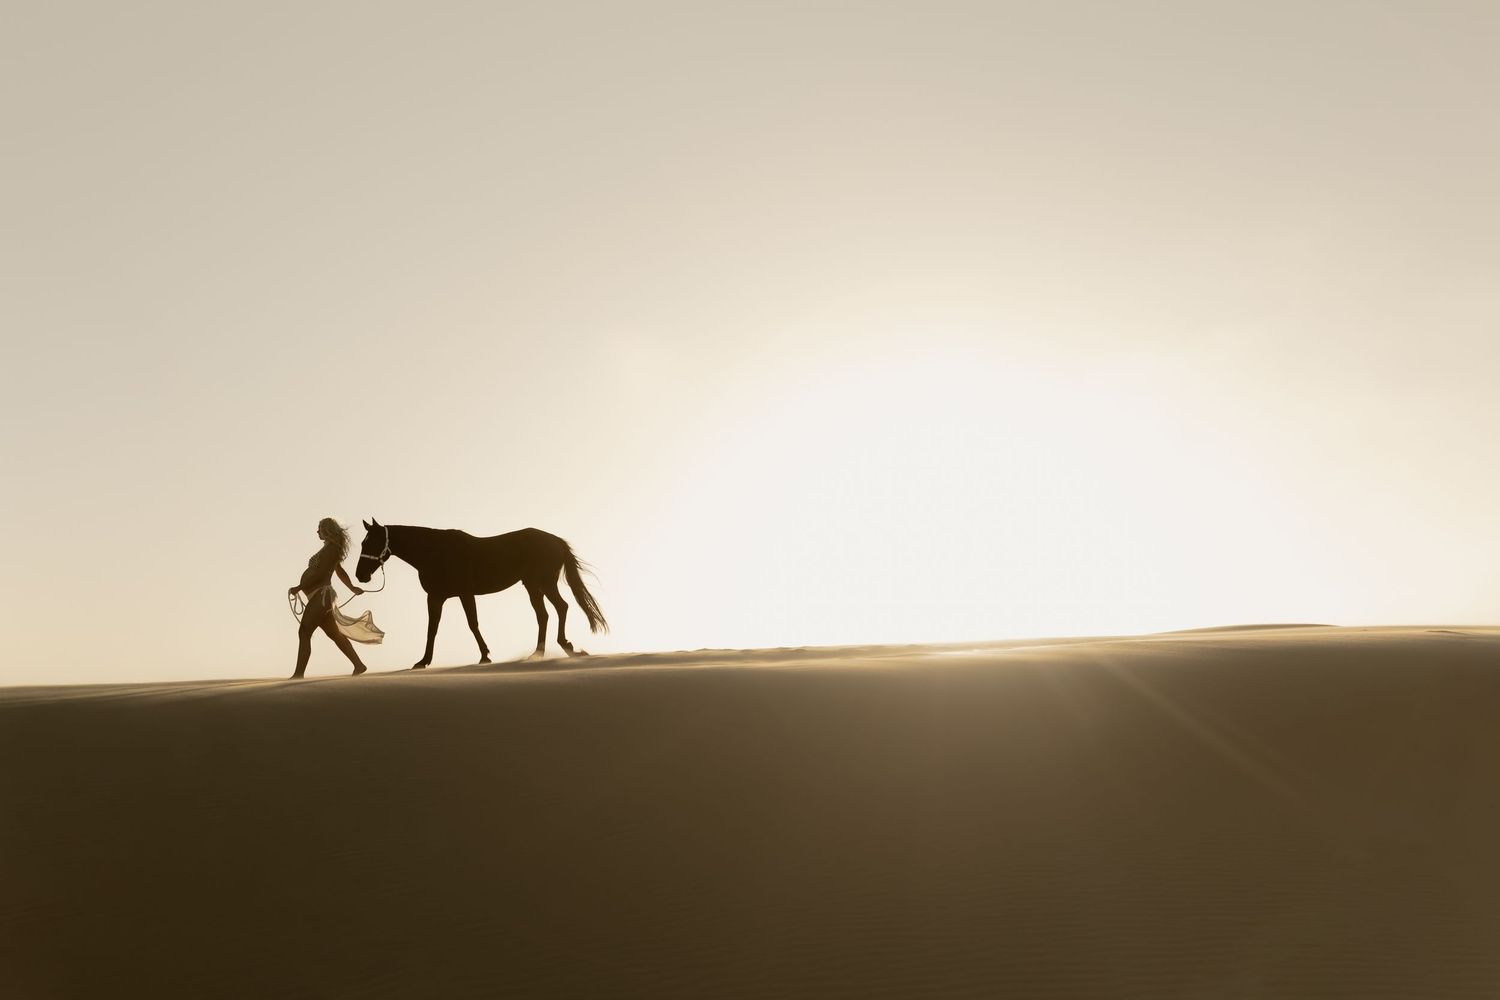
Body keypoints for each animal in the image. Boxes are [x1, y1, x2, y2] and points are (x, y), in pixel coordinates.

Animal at [354, 519, 608, 668]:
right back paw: (539, 653)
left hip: (544, 583)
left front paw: (485, 655)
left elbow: (473, 623)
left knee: (560, 607)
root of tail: (557, 541)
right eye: (363, 543)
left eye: (371, 543)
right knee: (543, 615)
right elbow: (432, 629)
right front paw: (423, 661)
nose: (360, 576)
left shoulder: (465, 593)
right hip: (532, 585)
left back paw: (565, 646)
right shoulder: (435, 597)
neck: (435, 553)